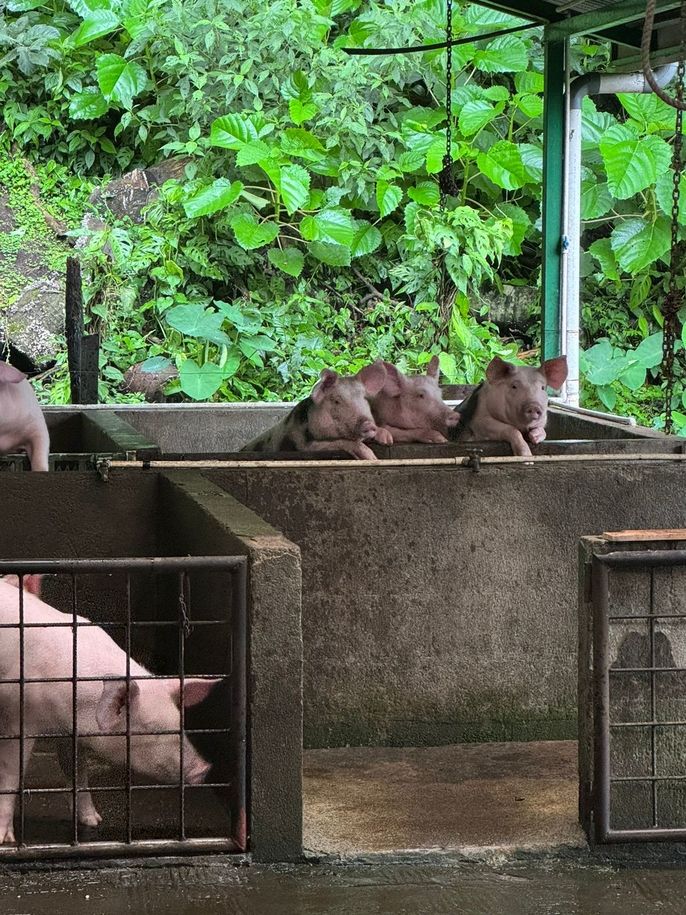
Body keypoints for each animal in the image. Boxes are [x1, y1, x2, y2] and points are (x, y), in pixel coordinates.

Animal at [0, 556, 249, 864]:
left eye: (180, 723)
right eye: (151, 730)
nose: (204, 768)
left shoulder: (71, 731)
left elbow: (76, 770)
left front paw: (93, 820)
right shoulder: (19, 717)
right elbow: (12, 774)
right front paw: (5, 840)